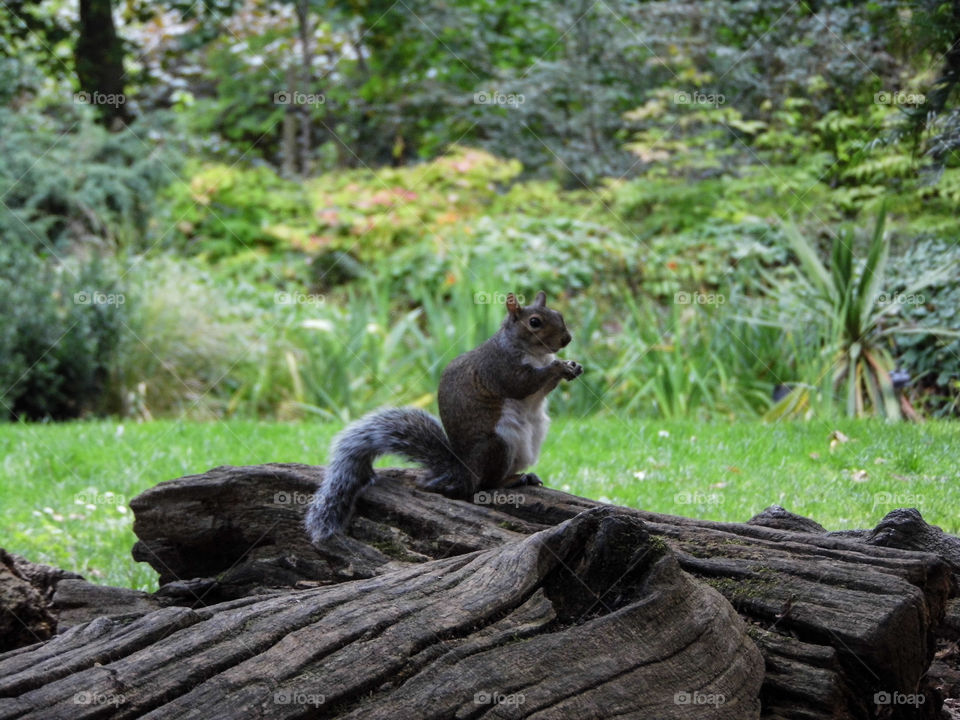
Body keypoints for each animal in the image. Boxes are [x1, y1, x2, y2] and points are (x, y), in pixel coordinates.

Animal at [304, 290, 580, 544]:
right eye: (534, 322)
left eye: (559, 315)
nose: (566, 339)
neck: (535, 353)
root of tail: (463, 472)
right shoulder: (499, 368)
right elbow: (523, 384)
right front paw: (558, 367)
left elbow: (543, 387)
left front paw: (572, 367)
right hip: (497, 444)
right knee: (484, 485)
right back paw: (511, 480)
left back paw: (527, 476)